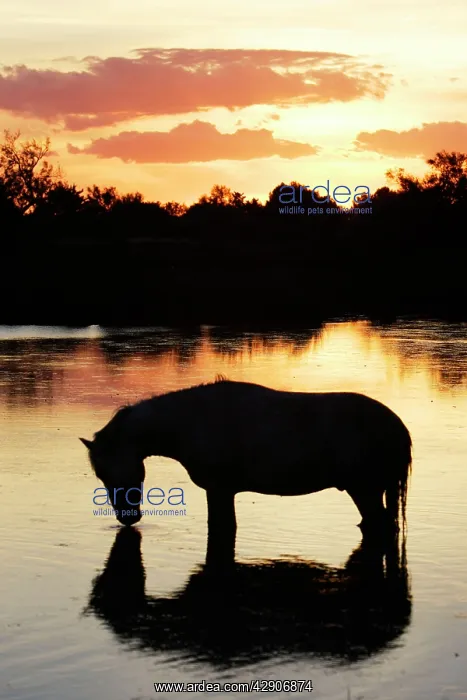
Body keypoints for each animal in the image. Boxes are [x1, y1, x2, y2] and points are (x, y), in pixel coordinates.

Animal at [80, 377, 412, 565]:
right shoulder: (223, 492)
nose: (127, 519)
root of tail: (397, 425)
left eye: (106, 472)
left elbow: (222, 530)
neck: (191, 421)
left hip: (364, 490)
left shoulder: (219, 490)